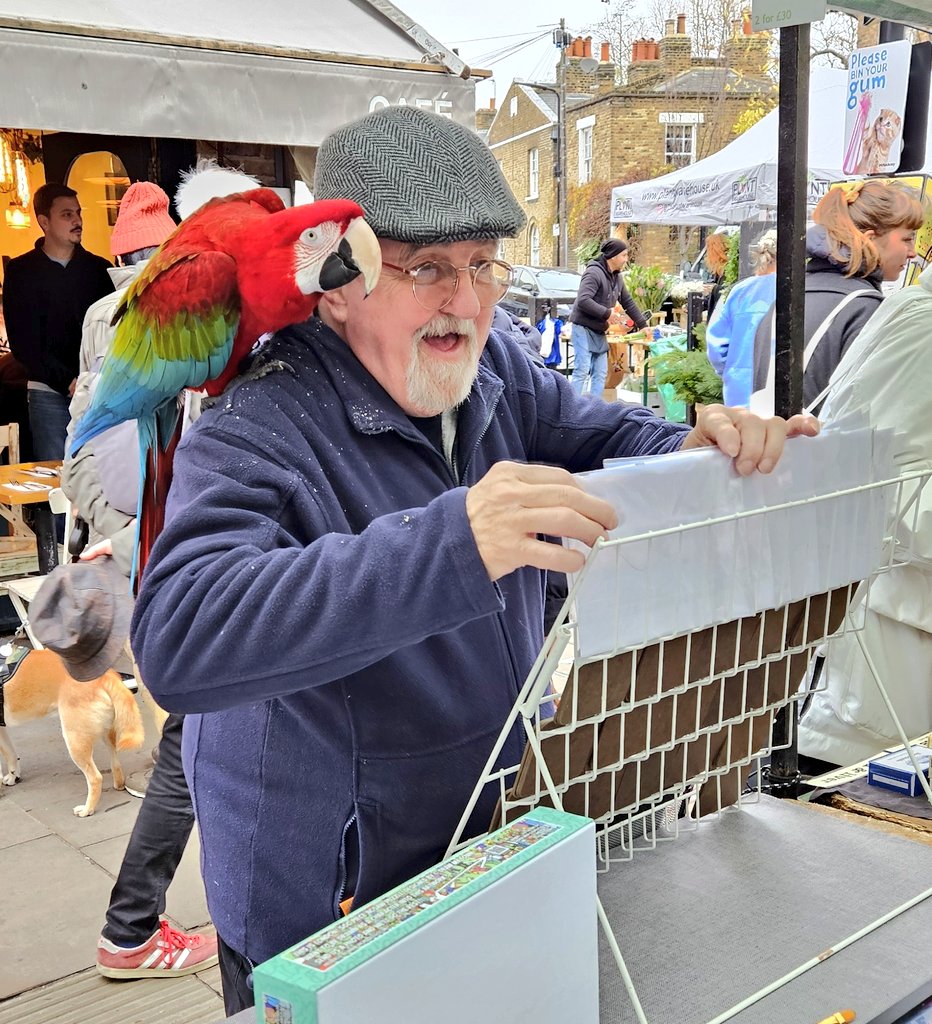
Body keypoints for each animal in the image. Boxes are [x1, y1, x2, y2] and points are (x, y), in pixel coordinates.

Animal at [0, 647, 144, 815]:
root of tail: (106, 675)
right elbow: (11, 754)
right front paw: (13, 777)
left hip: (74, 740)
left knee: (95, 778)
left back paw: (87, 810)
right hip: (105, 732)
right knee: (115, 762)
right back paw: (118, 784)